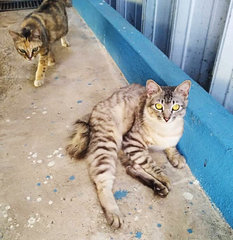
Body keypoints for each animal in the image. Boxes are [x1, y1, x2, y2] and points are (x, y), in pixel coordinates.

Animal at [66, 79, 191, 229]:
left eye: (176, 107)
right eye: (158, 106)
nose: (167, 118)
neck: (165, 130)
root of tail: (92, 113)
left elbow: (171, 147)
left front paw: (176, 157)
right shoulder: (133, 143)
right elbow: (153, 166)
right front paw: (164, 178)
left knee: (131, 168)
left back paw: (158, 187)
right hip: (107, 146)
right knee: (102, 183)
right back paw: (113, 212)